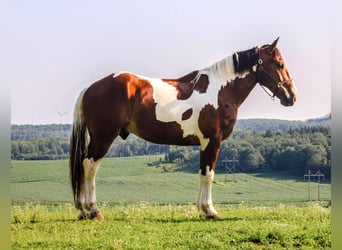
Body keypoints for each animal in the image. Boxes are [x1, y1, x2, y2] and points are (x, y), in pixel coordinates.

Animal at [69, 37, 296, 219]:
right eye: (279, 63)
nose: (292, 96)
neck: (220, 90)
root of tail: (90, 88)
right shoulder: (212, 141)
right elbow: (209, 174)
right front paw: (210, 211)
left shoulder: (205, 143)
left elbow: (202, 173)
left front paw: (202, 209)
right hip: (103, 137)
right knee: (89, 166)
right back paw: (93, 210)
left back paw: (83, 211)